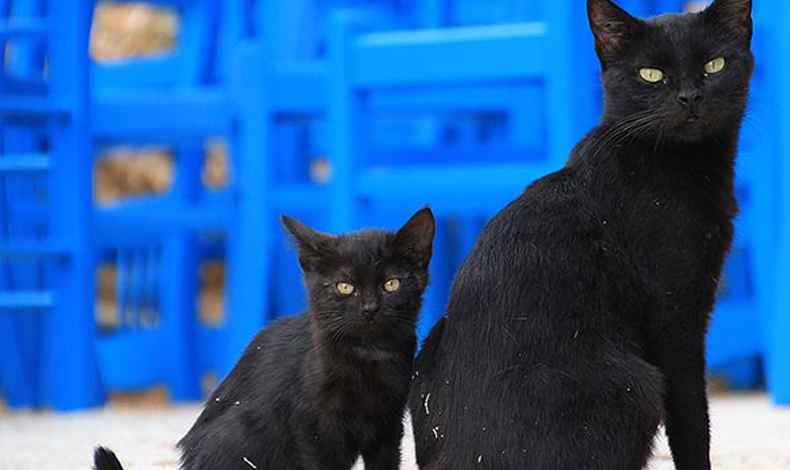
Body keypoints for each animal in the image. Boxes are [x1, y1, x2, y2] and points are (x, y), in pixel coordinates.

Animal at [97, 207, 440, 468]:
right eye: (345, 287)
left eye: (391, 284)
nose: (370, 308)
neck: (368, 355)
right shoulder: (313, 425)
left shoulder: (388, 425)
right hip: (237, 435)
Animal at [412, 0, 752, 470]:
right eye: (651, 74)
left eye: (714, 65)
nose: (689, 97)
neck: (672, 163)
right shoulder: (675, 314)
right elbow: (691, 420)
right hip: (636, 385)